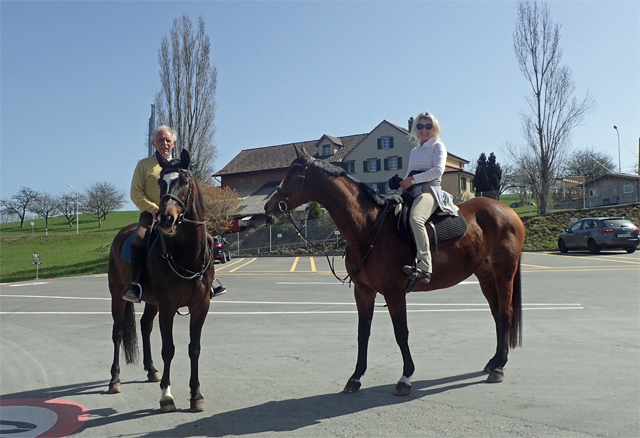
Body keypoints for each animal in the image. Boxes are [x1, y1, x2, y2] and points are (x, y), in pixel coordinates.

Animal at [106, 149, 214, 412]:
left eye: (184, 181)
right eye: (160, 183)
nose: (165, 218)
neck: (188, 254)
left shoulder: (201, 306)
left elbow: (194, 349)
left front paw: (196, 395)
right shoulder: (168, 306)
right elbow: (169, 349)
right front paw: (167, 395)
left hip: (151, 302)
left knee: (145, 326)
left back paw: (152, 370)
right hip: (117, 295)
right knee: (118, 332)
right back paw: (115, 380)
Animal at [264, 147, 524, 396]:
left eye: (292, 176)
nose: (269, 205)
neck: (369, 227)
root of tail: (508, 211)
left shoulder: (394, 293)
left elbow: (401, 333)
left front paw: (405, 377)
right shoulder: (363, 292)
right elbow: (363, 333)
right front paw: (355, 377)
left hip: (504, 272)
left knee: (505, 313)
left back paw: (499, 367)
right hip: (485, 275)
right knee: (497, 314)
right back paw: (494, 362)